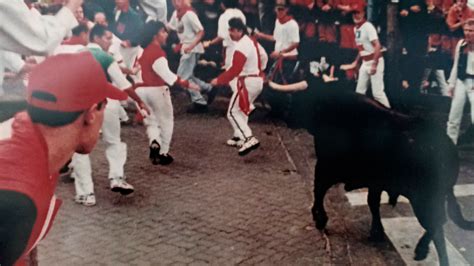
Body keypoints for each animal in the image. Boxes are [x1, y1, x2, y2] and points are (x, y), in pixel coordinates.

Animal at [274, 80, 474, 264]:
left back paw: (422, 250)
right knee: (439, 227)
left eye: (301, 100)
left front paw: (320, 218)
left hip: (423, 200)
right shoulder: (375, 183)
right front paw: (376, 231)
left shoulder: (325, 167)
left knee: (437, 225)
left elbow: (318, 191)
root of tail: (448, 147)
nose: (286, 116)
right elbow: (372, 203)